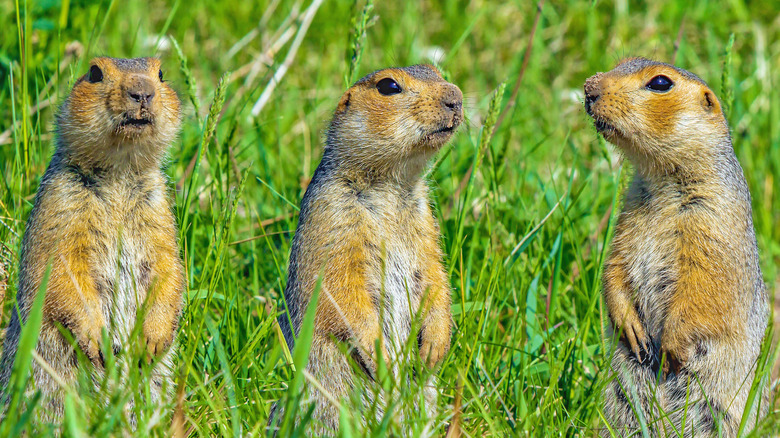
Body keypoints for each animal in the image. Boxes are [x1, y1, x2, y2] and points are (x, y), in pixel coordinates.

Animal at [0, 56, 186, 422]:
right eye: (95, 73)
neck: (119, 173)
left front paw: (154, 339)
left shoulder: (158, 211)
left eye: (160, 73)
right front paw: (97, 341)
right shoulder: (61, 205)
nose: (142, 92)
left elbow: (168, 266)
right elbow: (59, 269)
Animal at [270, 65, 464, 434]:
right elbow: (341, 289)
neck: (391, 185)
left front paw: (435, 347)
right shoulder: (333, 220)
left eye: (436, 71)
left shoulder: (425, 227)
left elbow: (435, 276)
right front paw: (384, 362)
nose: (456, 97)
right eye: (389, 86)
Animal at [584, 57, 768, 434]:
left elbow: (702, 289)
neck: (663, 181)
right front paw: (629, 326)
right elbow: (614, 267)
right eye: (620, 62)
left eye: (660, 83)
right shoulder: (627, 219)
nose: (588, 87)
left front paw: (669, 347)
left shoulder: (714, 224)